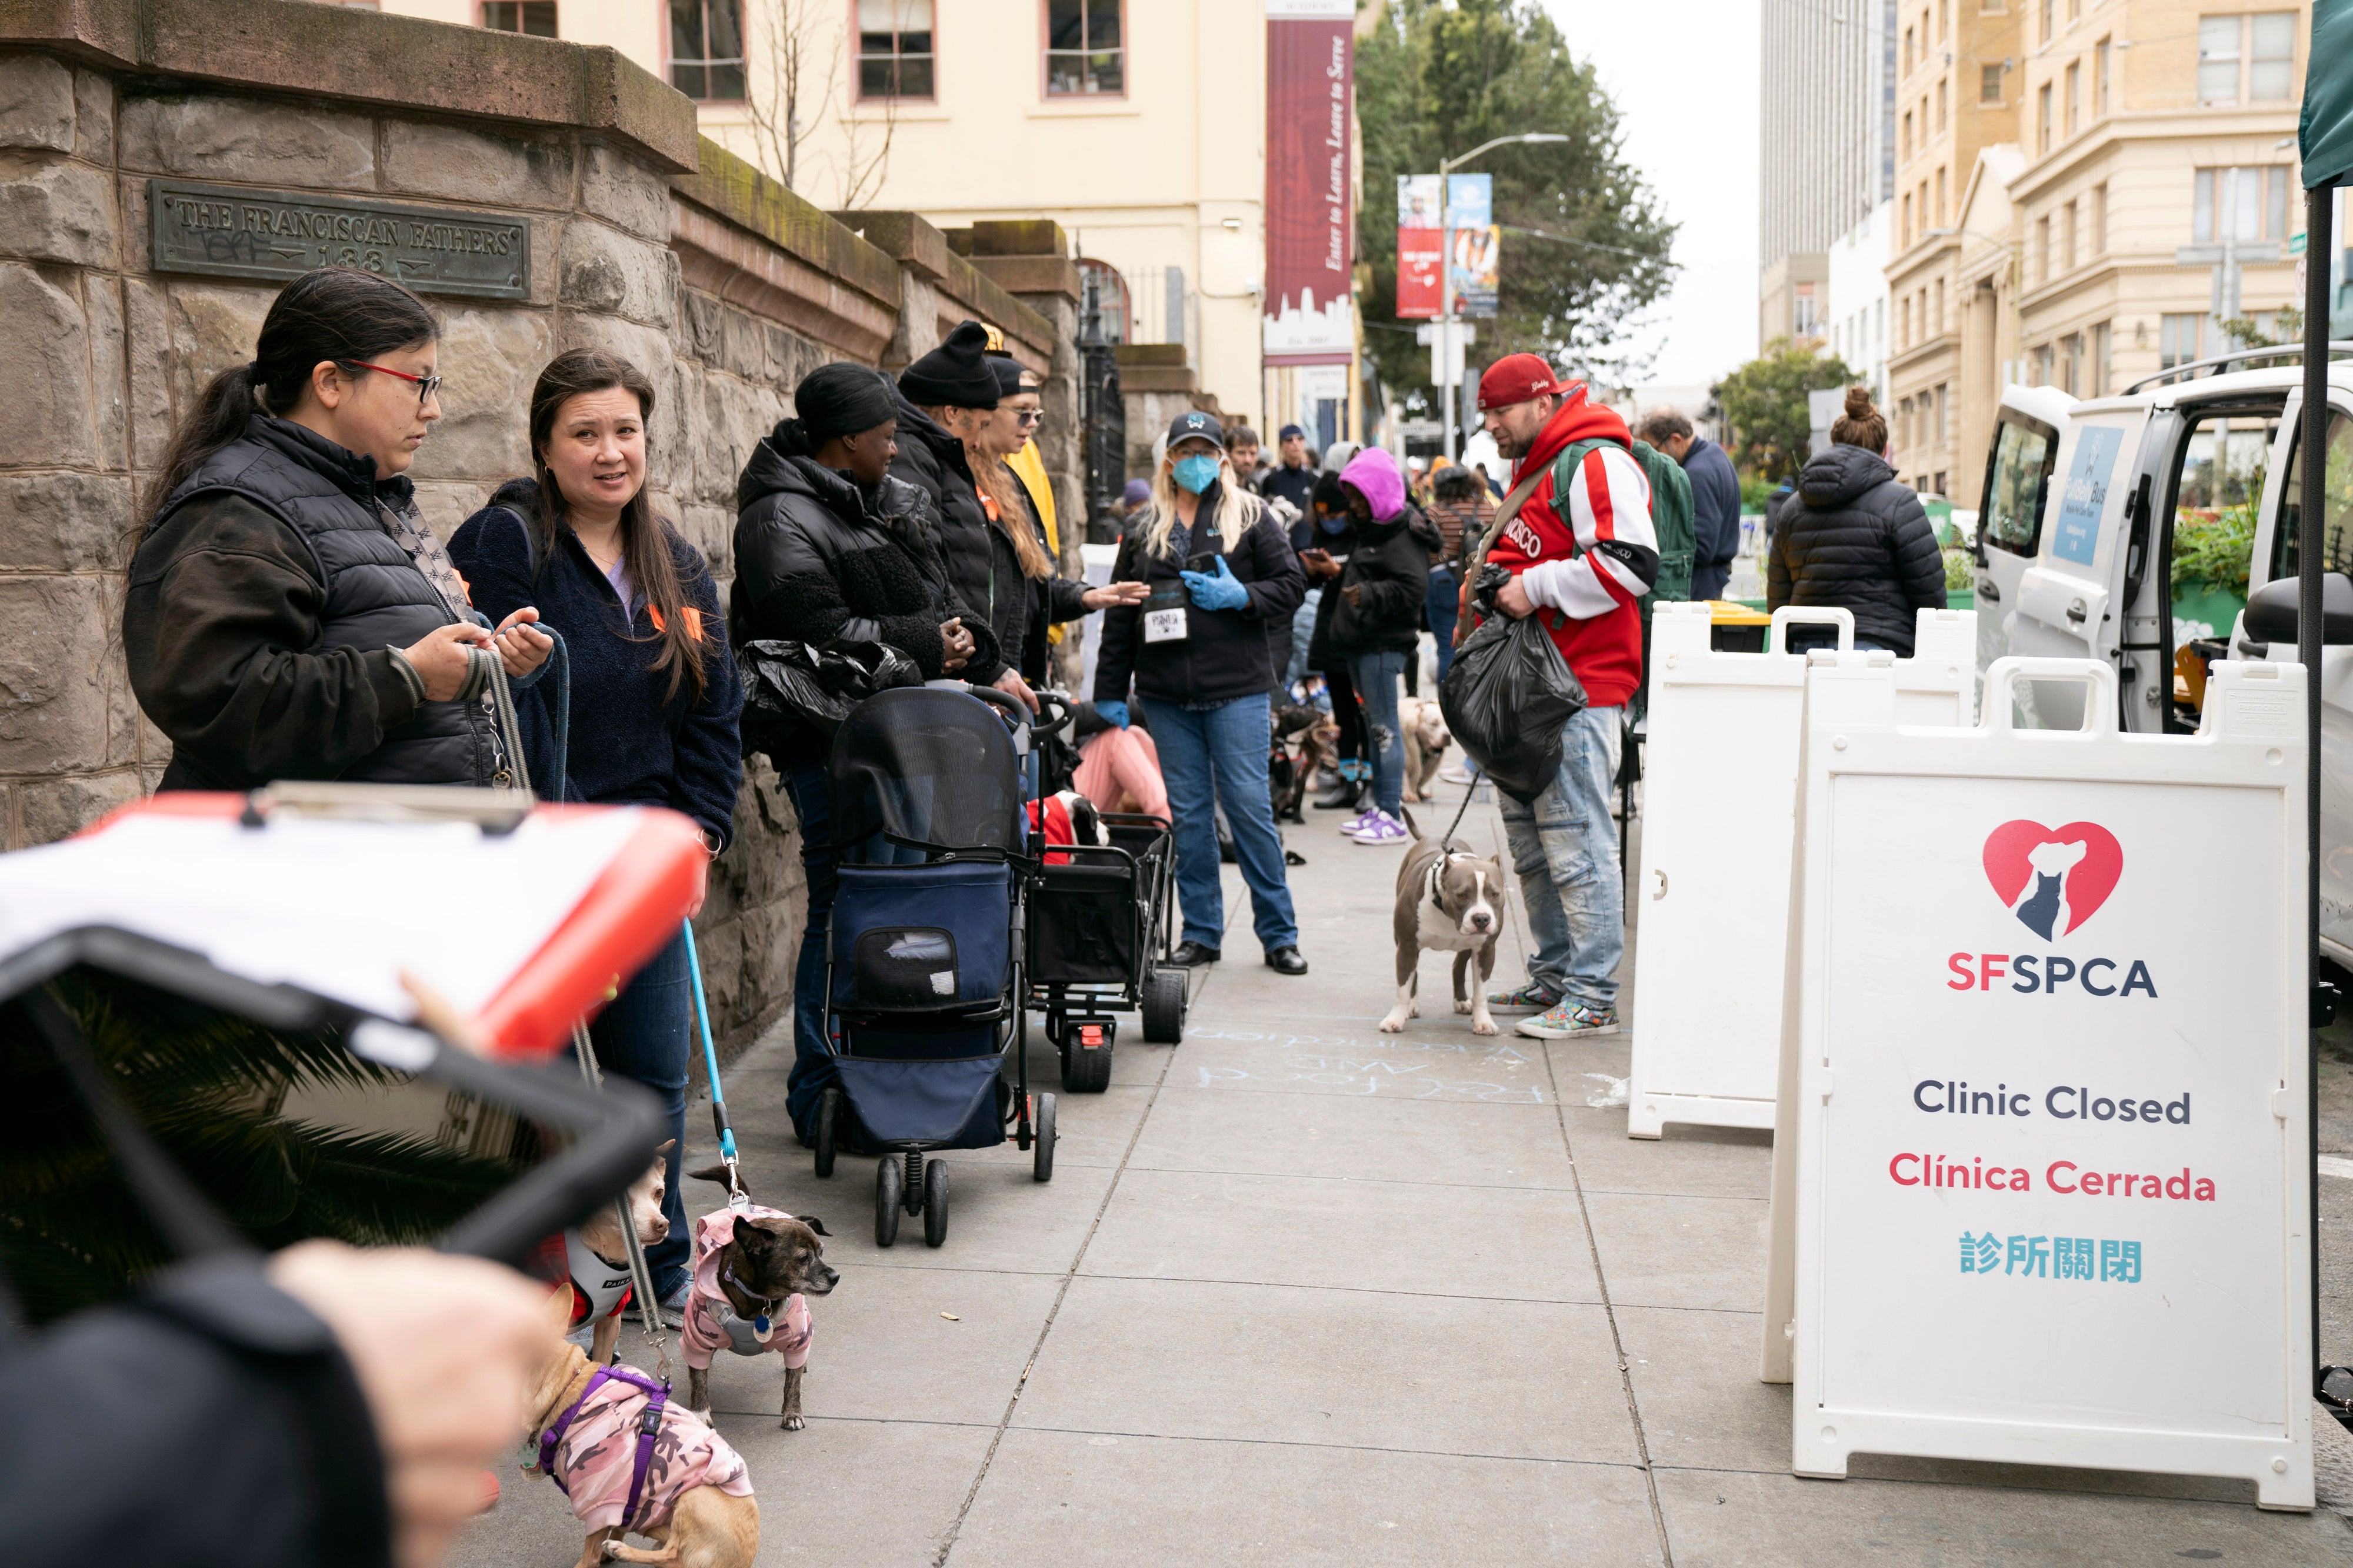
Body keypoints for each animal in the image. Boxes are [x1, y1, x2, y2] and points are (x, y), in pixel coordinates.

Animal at [682, 1196, 838, 1431]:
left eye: (821, 1253)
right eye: (803, 1258)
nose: (836, 1277)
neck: (761, 1299)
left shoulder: (798, 1340)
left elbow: (793, 1383)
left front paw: (793, 1413)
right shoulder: (696, 1339)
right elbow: (698, 1379)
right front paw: (700, 1413)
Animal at [1374, 805, 1506, 1036]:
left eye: (1495, 894)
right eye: (1461, 895)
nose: (1482, 918)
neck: (1447, 913)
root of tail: (1429, 837)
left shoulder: (1486, 950)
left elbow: (1481, 992)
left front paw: (1484, 1022)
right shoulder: (1407, 945)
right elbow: (1402, 988)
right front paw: (1395, 1019)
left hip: (1467, 947)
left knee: (1458, 966)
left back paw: (1461, 1000)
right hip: (1403, 943)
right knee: (1415, 974)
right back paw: (1412, 1005)